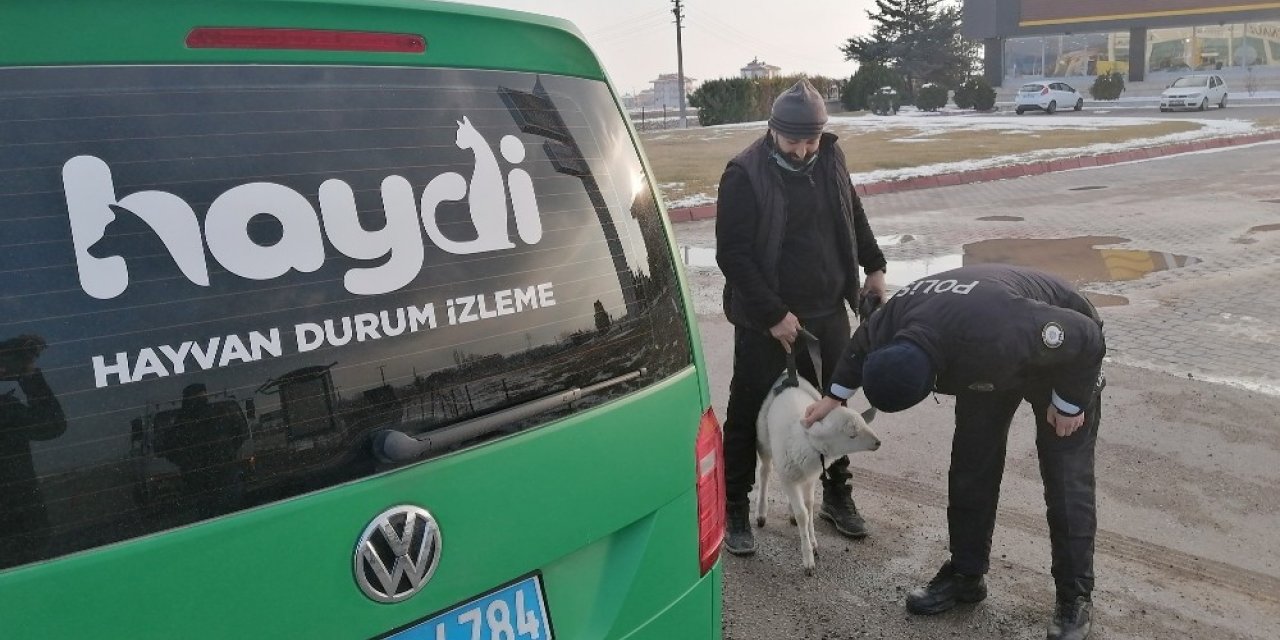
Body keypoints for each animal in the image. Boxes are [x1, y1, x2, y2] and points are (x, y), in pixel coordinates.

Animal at [752, 373, 875, 576]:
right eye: (851, 435)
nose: (878, 442)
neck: (808, 443)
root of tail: (788, 375)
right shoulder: (788, 477)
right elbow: (803, 514)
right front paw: (808, 558)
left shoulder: (810, 478)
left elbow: (809, 506)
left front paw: (813, 541)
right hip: (763, 439)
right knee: (764, 471)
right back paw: (761, 512)